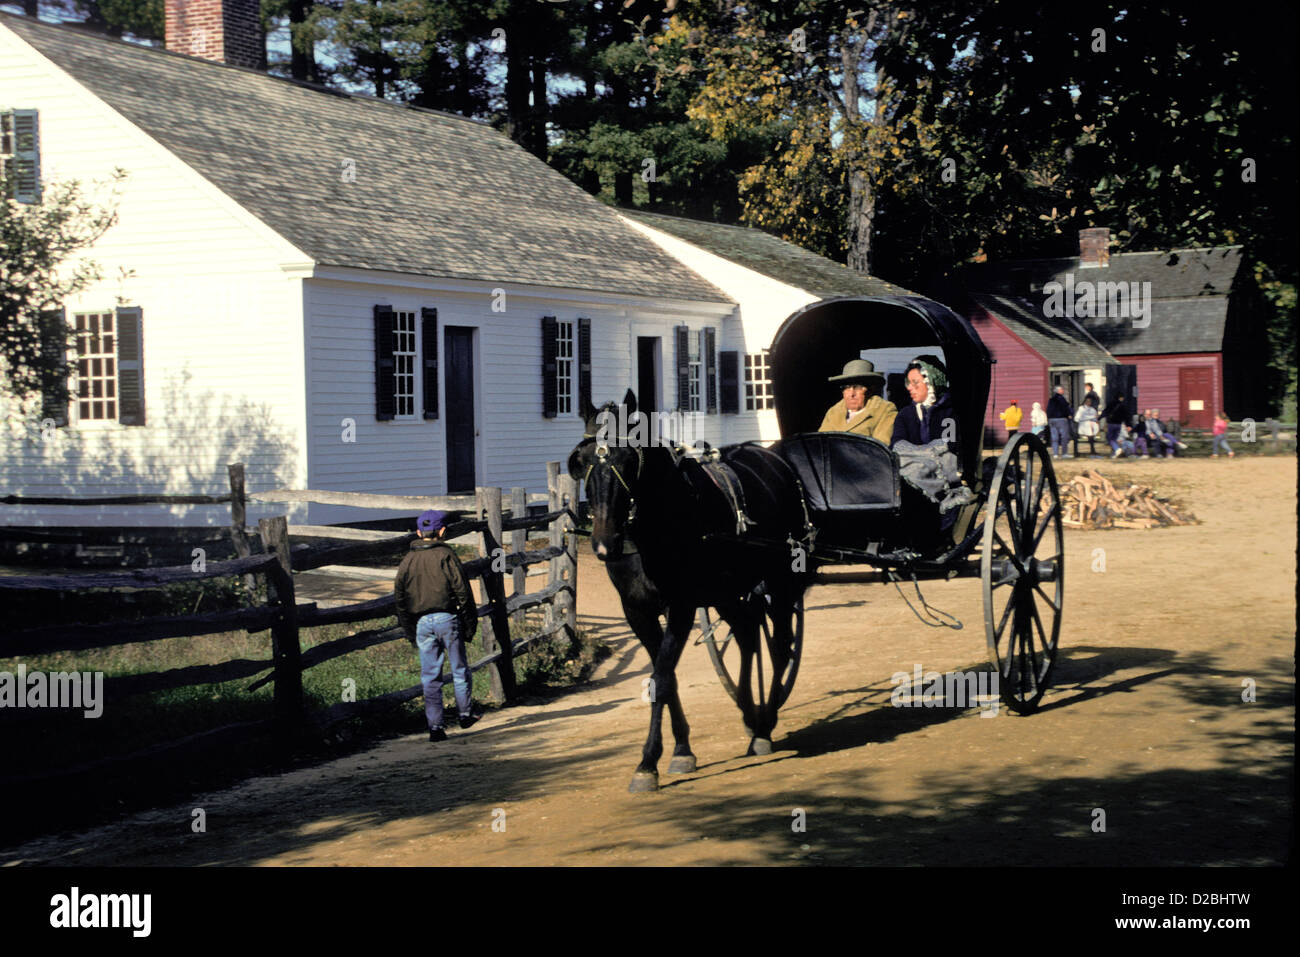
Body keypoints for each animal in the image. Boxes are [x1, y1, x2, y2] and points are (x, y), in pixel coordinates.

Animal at [572, 390, 811, 790]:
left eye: (627, 459)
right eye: (584, 460)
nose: (605, 543)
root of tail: (774, 460)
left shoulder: (681, 607)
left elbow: (662, 676)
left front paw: (648, 762)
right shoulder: (636, 611)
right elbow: (664, 678)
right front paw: (681, 750)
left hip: (779, 581)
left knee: (779, 648)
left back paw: (765, 719)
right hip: (727, 590)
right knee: (747, 633)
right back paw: (750, 714)